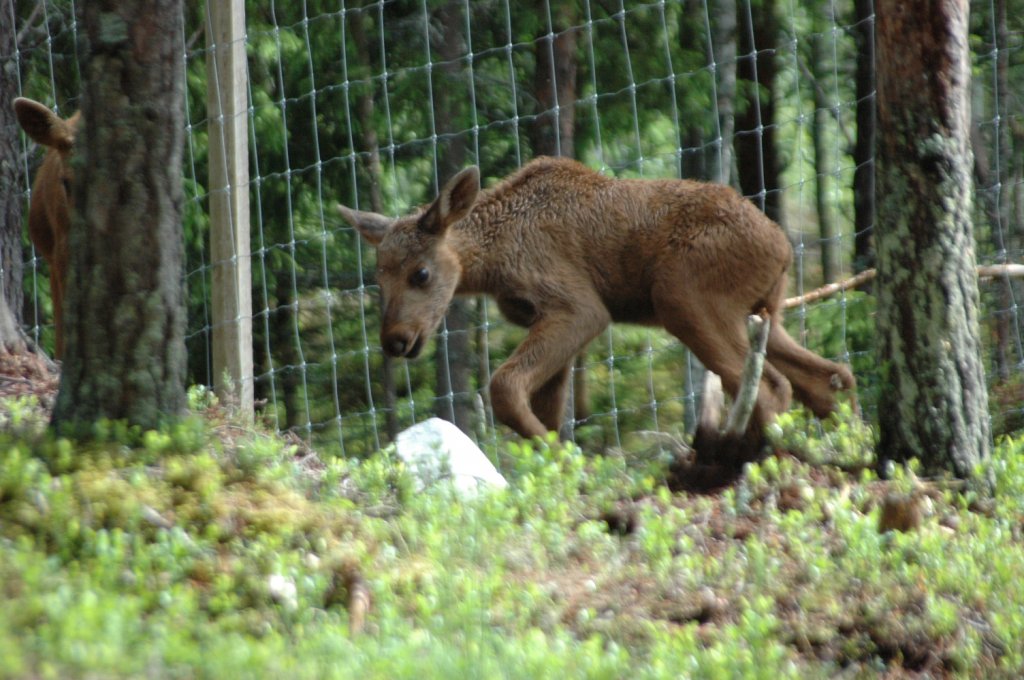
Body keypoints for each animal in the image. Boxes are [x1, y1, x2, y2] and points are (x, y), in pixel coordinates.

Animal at [342, 157, 856, 448]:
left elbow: (505, 388)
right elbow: (547, 409)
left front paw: (558, 458)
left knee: (769, 385)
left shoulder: (580, 308)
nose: (395, 340)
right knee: (828, 376)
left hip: (684, 298)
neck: (491, 262)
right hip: (766, 311)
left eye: (421, 273)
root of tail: (785, 247)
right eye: (378, 280)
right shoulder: (545, 318)